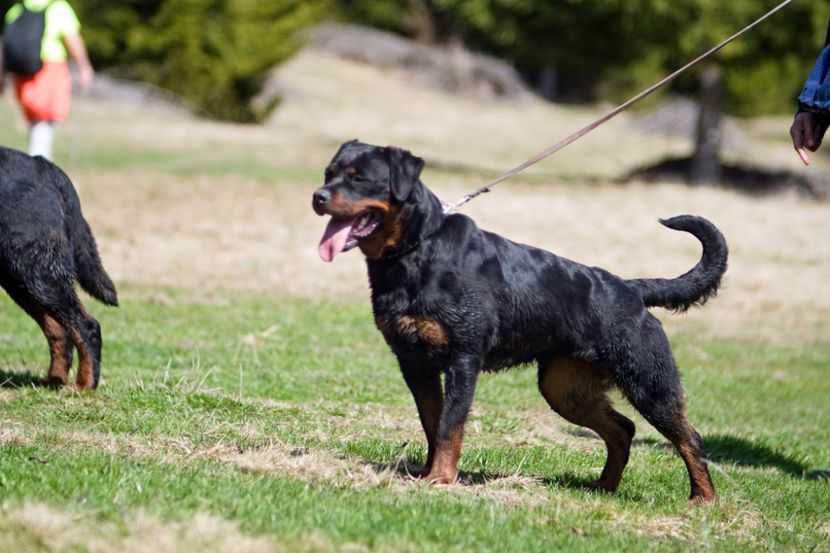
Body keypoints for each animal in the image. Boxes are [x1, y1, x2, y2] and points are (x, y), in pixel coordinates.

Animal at [0, 146, 118, 388]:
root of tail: (44, 166)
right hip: (20, 277)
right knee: (59, 331)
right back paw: (54, 381)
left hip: (35, 270)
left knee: (87, 326)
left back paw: (84, 386)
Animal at [316, 140, 732, 502]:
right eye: (329, 173)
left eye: (359, 178)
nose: (318, 196)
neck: (418, 250)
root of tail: (632, 289)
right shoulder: (413, 362)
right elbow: (431, 422)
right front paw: (428, 473)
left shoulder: (463, 359)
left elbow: (450, 425)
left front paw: (441, 478)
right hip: (564, 387)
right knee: (623, 429)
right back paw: (603, 487)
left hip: (648, 381)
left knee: (689, 437)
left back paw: (703, 498)